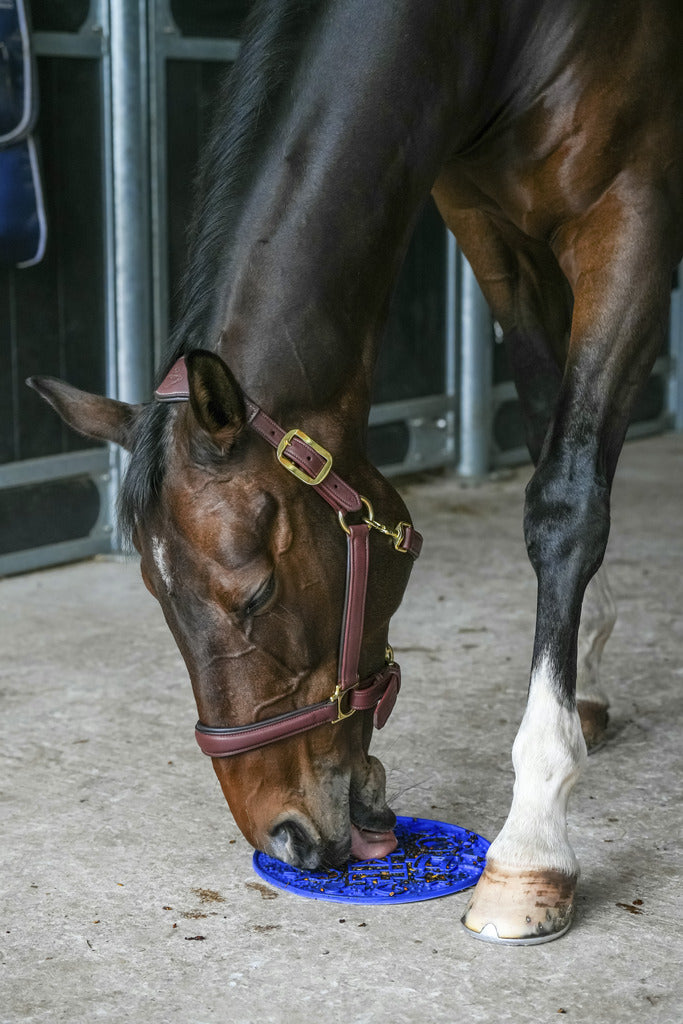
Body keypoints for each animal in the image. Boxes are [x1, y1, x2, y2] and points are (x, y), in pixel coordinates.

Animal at [28, 0, 683, 942]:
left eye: (257, 593)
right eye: (155, 599)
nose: (285, 836)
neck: (500, 31)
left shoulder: (631, 210)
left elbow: (565, 502)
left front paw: (531, 846)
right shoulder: (494, 233)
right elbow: (550, 434)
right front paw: (582, 684)